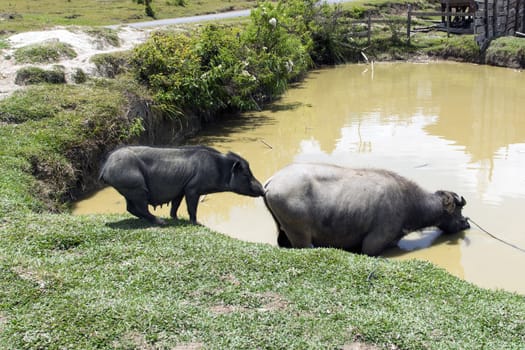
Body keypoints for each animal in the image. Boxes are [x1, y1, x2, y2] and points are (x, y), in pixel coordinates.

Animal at [99, 144, 264, 224]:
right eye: (246, 174)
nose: (262, 189)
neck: (218, 167)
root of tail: (105, 167)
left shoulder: (180, 190)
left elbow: (175, 206)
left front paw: (176, 219)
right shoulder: (192, 189)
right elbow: (192, 208)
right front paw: (196, 223)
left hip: (129, 189)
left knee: (130, 208)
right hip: (136, 186)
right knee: (139, 207)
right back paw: (161, 222)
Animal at [264, 163, 468, 256]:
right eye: (458, 210)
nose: (466, 223)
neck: (409, 203)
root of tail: (271, 182)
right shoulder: (372, 244)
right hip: (301, 236)